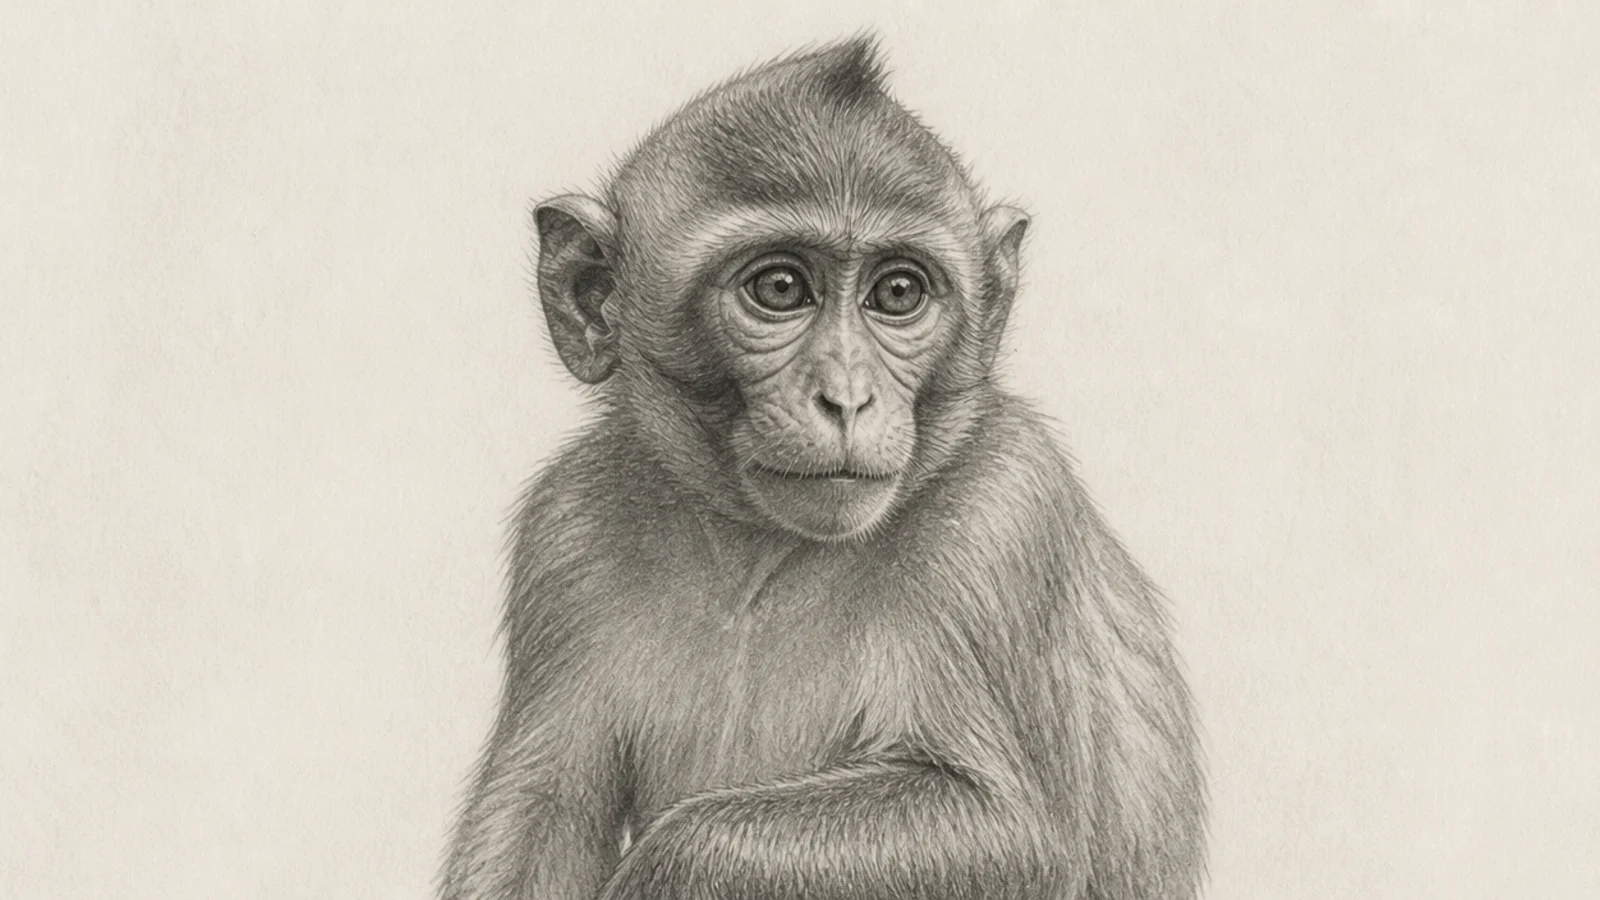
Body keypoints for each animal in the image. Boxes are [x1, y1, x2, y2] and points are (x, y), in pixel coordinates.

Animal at [439, 37, 1206, 900]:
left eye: (898, 292)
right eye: (780, 287)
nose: (847, 397)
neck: (758, 551)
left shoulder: (1004, 514)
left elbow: (1018, 835)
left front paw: (665, 869)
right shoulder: (565, 532)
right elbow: (537, 816)